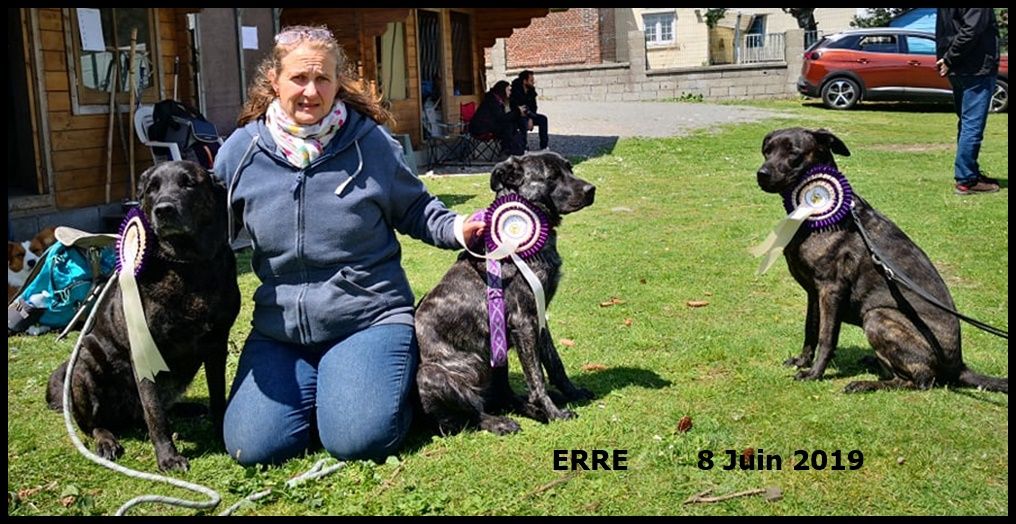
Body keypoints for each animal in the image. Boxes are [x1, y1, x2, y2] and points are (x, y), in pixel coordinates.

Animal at [46, 160, 241, 471]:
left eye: (189, 183)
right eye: (152, 188)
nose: (164, 209)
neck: (184, 264)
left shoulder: (216, 345)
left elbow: (217, 394)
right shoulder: (144, 353)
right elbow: (155, 415)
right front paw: (168, 457)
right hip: (84, 363)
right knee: (95, 425)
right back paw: (107, 441)